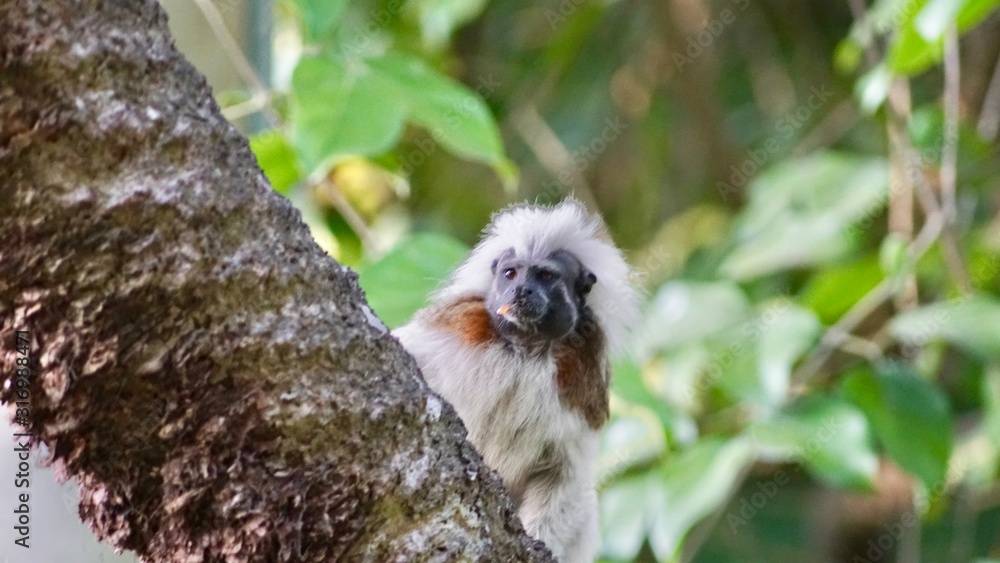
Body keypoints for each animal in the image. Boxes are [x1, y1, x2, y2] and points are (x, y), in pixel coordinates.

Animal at [394, 199, 637, 562]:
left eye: (545, 276)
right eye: (511, 273)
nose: (521, 289)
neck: (525, 351)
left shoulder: (583, 382)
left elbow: (563, 478)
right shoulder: (455, 325)